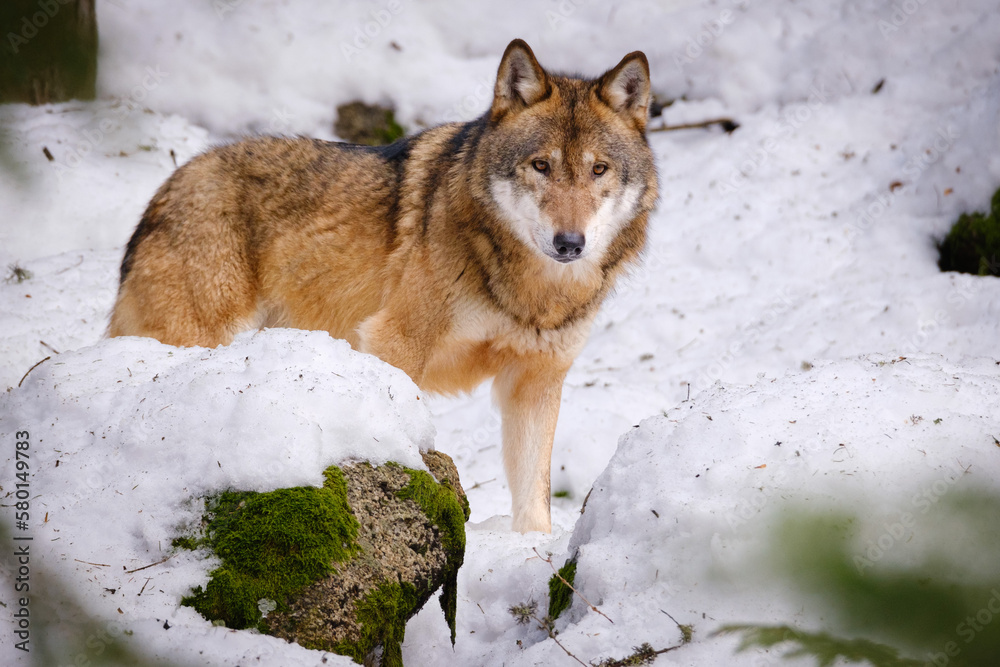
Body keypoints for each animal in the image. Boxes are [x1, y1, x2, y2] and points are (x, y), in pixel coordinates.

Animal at [108, 39, 658, 533]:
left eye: (598, 169)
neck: (532, 291)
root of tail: (166, 188)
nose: (570, 243)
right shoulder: (396, 341)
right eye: (541, 166)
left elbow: (534, 498)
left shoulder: (536, 381)